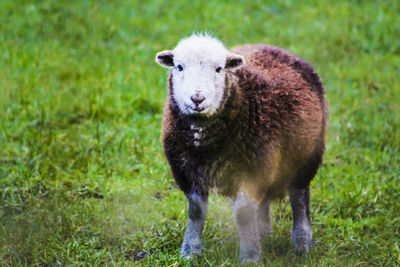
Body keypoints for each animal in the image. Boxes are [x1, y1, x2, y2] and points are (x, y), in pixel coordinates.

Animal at [155, 33, 326, 264]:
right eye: (179, 67)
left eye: (219, 69)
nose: (197, 98)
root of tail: (272, 47)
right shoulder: (186, 171)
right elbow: (196, 212)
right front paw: (190, 252)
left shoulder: (255, 168)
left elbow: (243, 213)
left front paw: (250, 255)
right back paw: (263, 231)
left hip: (307, 157)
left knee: (299, 199)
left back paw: (302, 244)